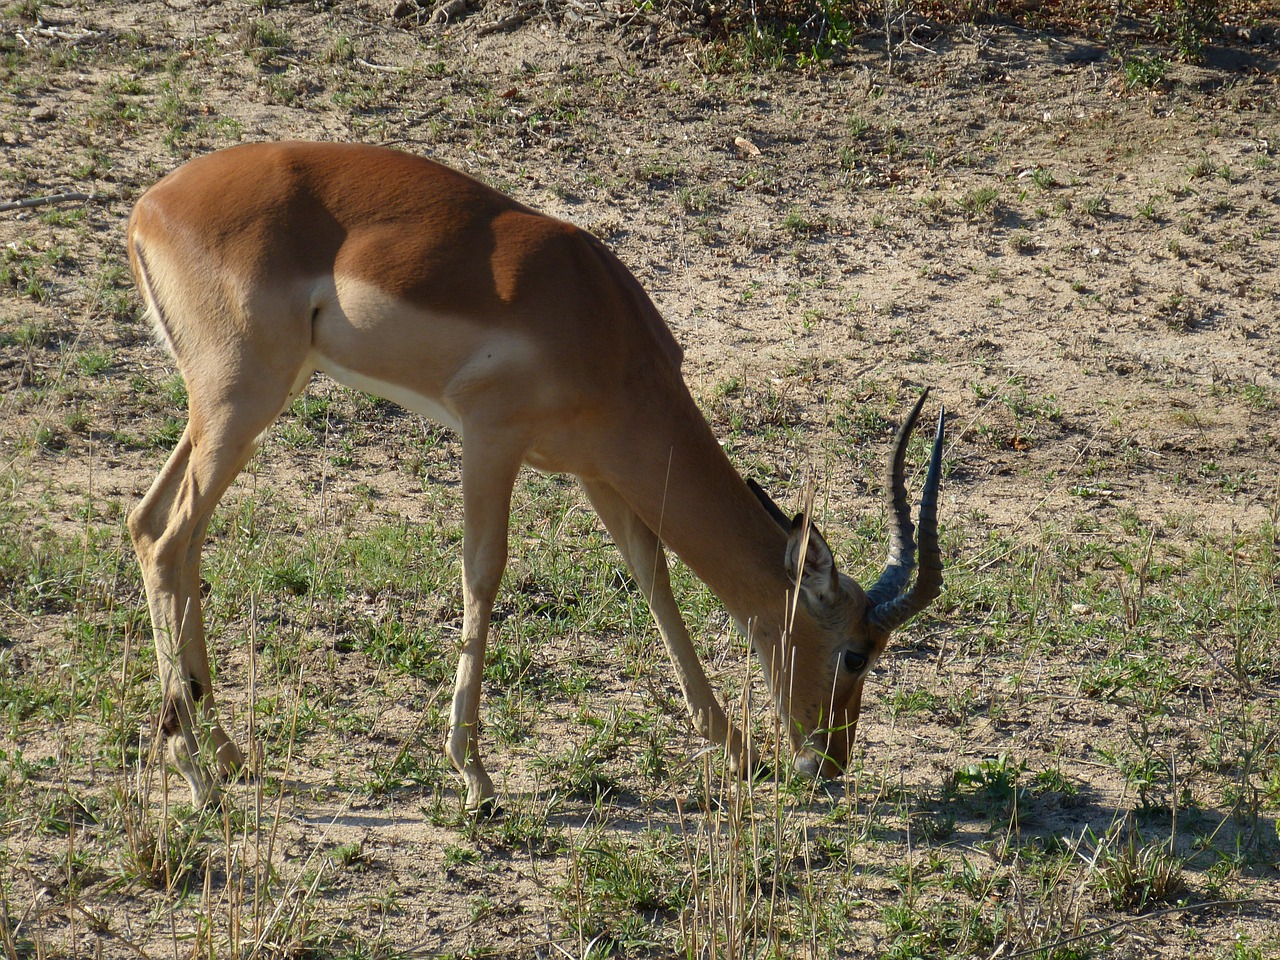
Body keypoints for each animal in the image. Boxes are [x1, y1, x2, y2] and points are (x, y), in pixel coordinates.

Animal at [129, 142, 947, 814]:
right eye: (855, 651)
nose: (830, 763)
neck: (604, 328)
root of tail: (150, 205)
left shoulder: (599, 472)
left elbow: (653, 578)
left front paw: (739, 752)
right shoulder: (492, 438)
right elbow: (482, 575)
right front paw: (475, 777)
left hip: (237, 405)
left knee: (155, 528)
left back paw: (228, 753)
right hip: (242, 399)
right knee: (171, 542)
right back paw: (195, 774)